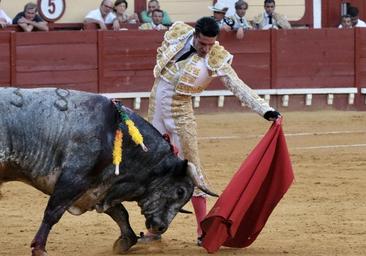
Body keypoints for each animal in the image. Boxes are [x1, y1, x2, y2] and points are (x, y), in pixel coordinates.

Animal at [0, 87, 214, 255]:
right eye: (180, 191)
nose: (161, 227)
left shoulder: (99, 187)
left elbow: (120, 213)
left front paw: (125, 242)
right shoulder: (74, 179)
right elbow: (53, 213)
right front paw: (39, 248)